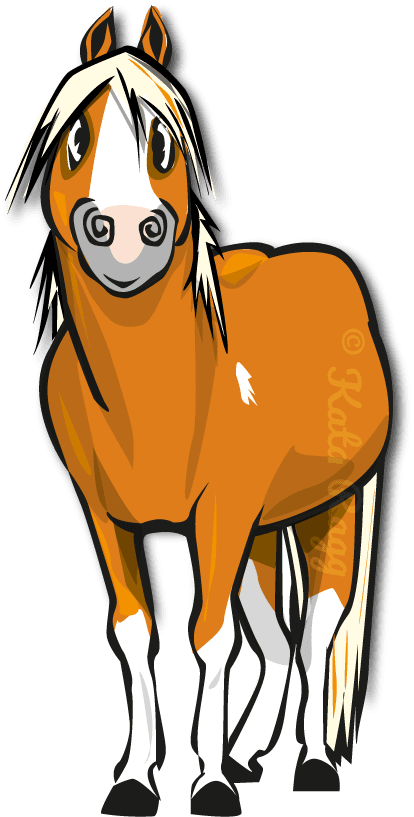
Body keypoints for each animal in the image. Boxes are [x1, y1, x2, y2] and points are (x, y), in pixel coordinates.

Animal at [5, 4, 409, 815]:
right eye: (76, 139)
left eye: (163, 140)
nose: (127, 232)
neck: (157, 390)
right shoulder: (102, 513)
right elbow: (135, 634)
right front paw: (135, 777)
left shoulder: (221, 510)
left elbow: (213, 638)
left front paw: (211, 782)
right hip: (263, 526)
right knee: (278, 637)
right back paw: (250, 748)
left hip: (328, 504)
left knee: (317, 628)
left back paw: (311, 761)